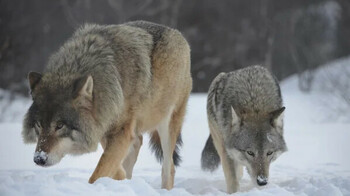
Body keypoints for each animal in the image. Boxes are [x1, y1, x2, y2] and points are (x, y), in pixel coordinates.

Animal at [22, 20, 191, 190]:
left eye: (60, 126)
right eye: (38, 125)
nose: (39, 159)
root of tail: (178, 34)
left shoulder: (120, 131)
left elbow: (98, 173)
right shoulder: (104, 127)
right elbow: (114, 166)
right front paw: (121, 180)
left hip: (166, 123)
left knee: (169, 168)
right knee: (137, 143)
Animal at [200, 65, 288, 193]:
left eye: (269, 153)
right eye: (250, 152)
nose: (262, 181)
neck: (254, 103)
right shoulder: (227, 151)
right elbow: (233, 181)